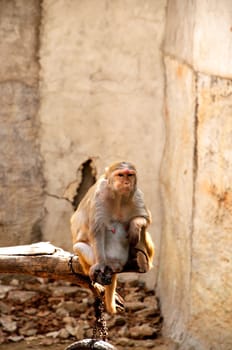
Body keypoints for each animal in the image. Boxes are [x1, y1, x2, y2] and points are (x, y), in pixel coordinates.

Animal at [70, 161, 154, 314]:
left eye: (130, 175)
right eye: (120, 175)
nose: (127, 182)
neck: (119, 197)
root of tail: (116, 265)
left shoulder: (137, 195)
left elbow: (144, 219)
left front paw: (135, 225)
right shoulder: (99, 196)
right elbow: (97, 230)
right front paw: (100, 264)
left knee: (141, 232)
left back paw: (137, 256)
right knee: (79, 246)